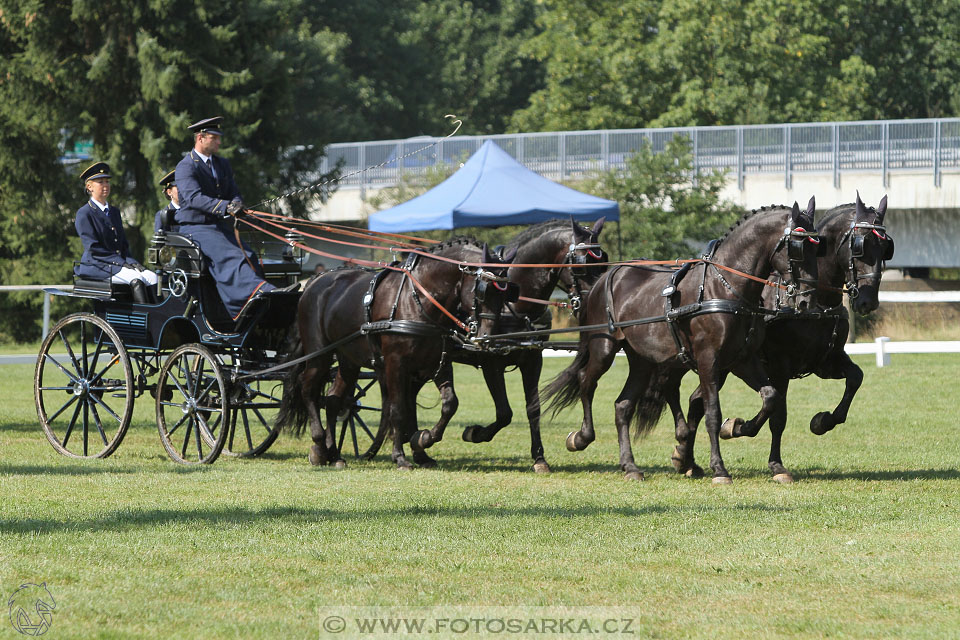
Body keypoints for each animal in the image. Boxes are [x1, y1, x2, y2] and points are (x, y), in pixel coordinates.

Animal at [276, 238, 516, 468]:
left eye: (508, 293)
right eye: (482, 290)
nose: (487, 337)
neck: (418, 299)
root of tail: (314, 281)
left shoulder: (439, 363)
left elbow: (450, 404)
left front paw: (424, 439)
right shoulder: (395, 363)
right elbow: (398, 409)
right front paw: (400, 457)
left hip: (349, 360)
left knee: (333, 400)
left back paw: (334, 455)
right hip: (319, 354)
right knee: (307, 388)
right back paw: (318, 444)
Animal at [398, 218, 608, 472]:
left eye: (603, 261)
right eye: (581, 264)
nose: (596, 301)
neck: (515, 305)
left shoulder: (532, 360)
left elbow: (533, 408)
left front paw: (539, 459)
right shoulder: (491, 362)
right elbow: (504, 412)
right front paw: (475, 433)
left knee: (409, 394)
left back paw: (417, 448)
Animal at [544, 200, 820, 480]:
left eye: (819, 247)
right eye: (798, 246)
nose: (807, 299)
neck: (724, 287)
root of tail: (606, 278)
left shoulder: (742, 360)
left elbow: (770, 397)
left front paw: (738, 427)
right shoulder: (709, 360)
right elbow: (712, 412)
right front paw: (719, 468)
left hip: (642, 361)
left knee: (623, 406)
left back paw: (630, 466)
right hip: (604, 348)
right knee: (586, 382)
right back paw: (580, 438)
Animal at [672, 192, 896, 482]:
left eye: (886, 247)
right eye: (859, 245)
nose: (868, 301)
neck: (817, 303)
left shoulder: (826, 361)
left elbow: (855, 378)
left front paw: (823, 421)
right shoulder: (780, 365)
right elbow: (778, 416)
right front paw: (765, 454)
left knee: (696, 401)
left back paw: (684, 457)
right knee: (699, 401)